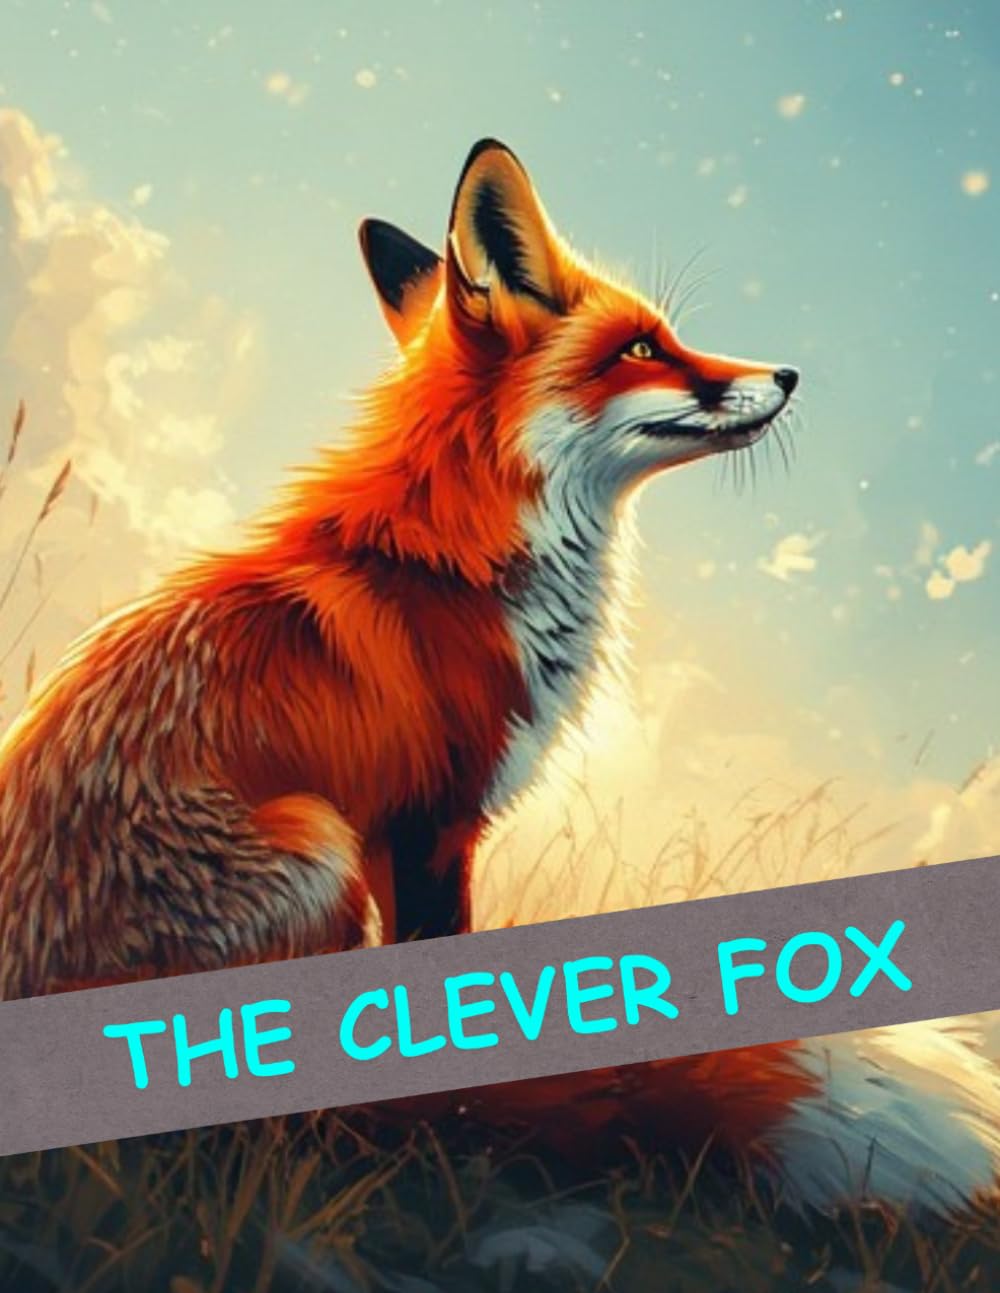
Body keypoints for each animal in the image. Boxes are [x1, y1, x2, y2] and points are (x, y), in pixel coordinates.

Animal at [1, 138, 998, 1214]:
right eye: (641, 348)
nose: (787, 371)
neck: (468, 563)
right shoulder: (432, 815)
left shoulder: (412, 832)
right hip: (314, 838)